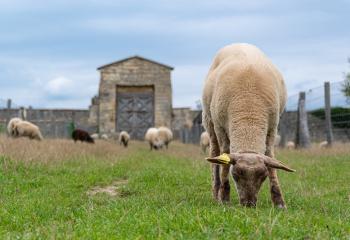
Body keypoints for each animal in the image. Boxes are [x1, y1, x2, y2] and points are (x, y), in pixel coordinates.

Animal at [202, 43, 296, 208]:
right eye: (235, 174)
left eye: (263, 176)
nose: (249, 204)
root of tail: (238, 43)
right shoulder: (221, 128)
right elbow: (224, 158)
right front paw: (224, 197)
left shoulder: (272, 127)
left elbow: (270, 157)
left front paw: (279, 202)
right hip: (210, 121)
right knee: (215, 153)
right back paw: (216, 193)